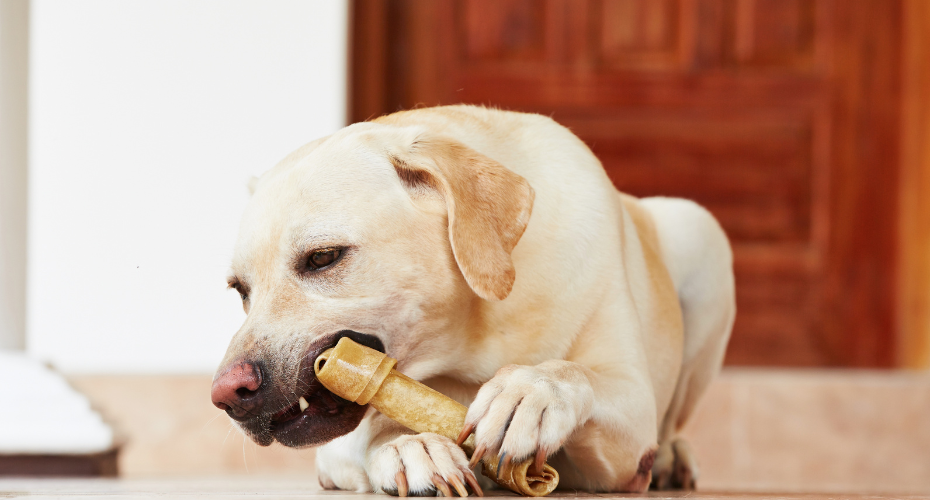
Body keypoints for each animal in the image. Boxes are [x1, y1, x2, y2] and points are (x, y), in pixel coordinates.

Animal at [210, 103, 732, 494]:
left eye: (322, 257)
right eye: (240, 290)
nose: (226, 395)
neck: (476, 332)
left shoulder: (628, 430)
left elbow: (574, 373)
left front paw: (531, 391)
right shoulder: (335, 445)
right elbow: (374, 428)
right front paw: (410, 445)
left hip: (702, 237)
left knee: (672, 423)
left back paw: (671, 459)